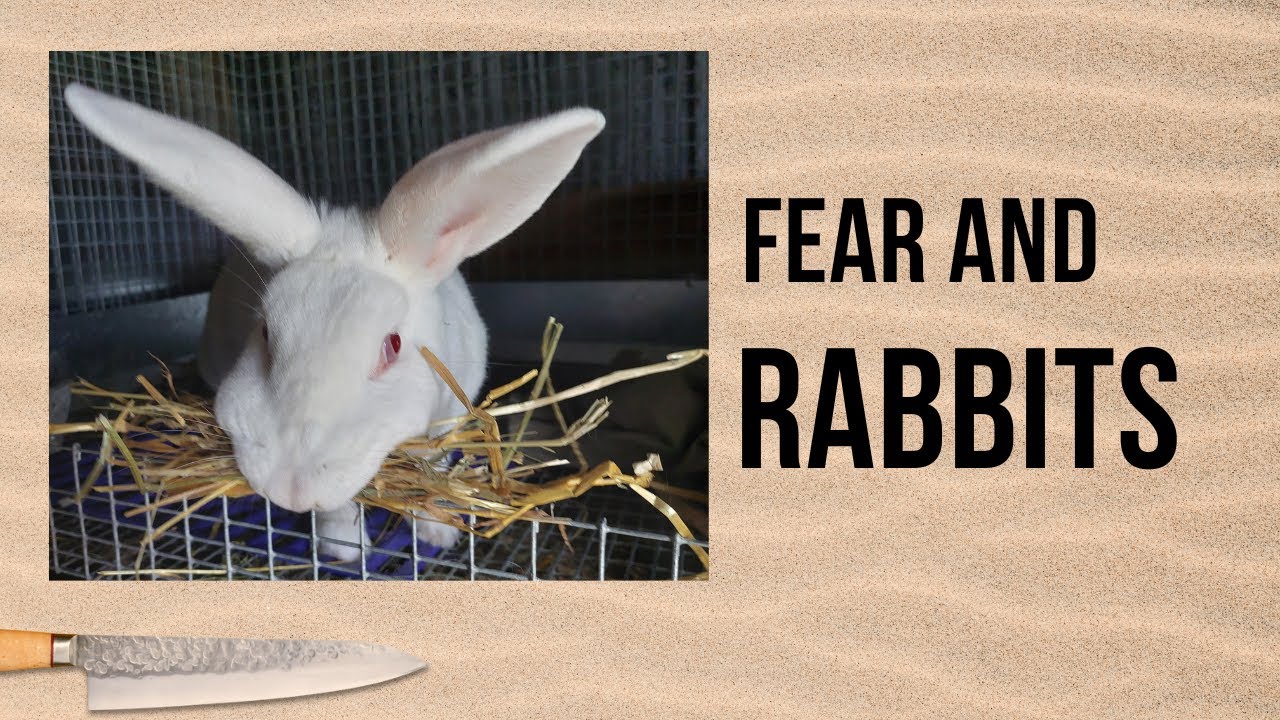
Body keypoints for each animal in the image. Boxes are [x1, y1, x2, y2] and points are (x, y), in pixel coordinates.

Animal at [63, 82, 605, 562]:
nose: (291, 489)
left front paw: (437, 535)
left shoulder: (446, 420)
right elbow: (342, 506)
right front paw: (344, 551)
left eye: (392, 345)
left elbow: (432, 476)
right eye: (265, 333)